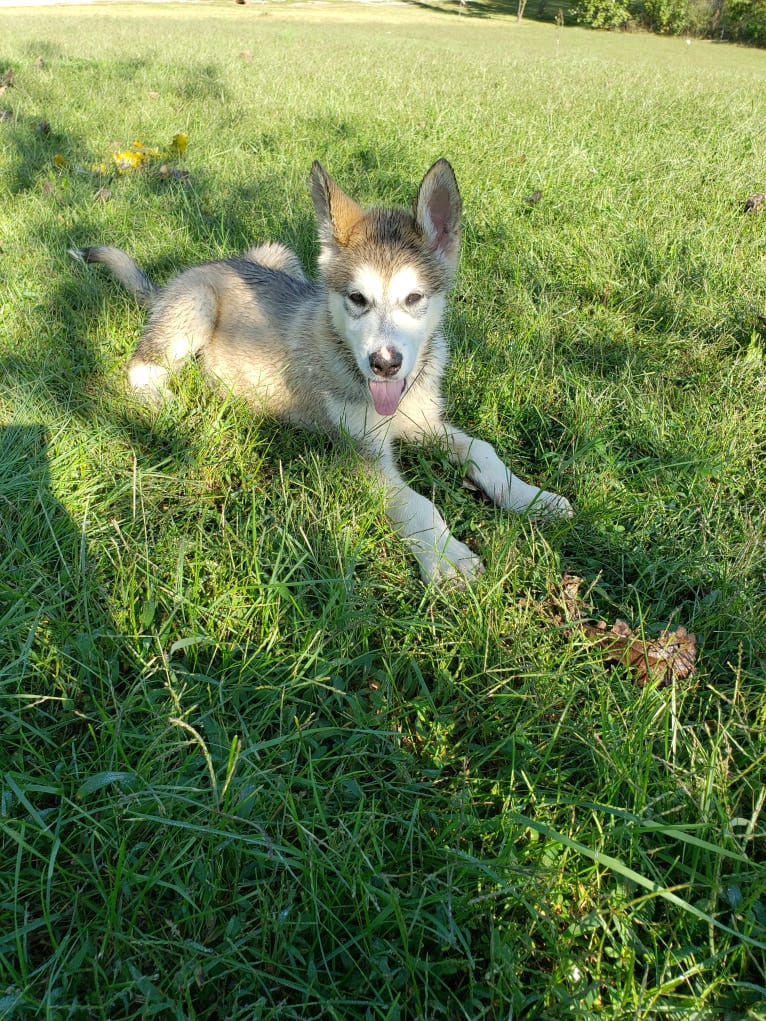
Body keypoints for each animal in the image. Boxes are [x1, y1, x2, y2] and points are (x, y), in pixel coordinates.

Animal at [73, 159, 576, 584]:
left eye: (414, 299)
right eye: (357, 299)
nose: (385, 364)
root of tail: (190, 273)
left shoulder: (426, 423)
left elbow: (483, 452)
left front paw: (532, 498)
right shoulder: (361, 454)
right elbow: (417, 503)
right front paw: (446, 557)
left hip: (281, 256)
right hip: (195, 307)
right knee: (140, 368)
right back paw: (173, 406)